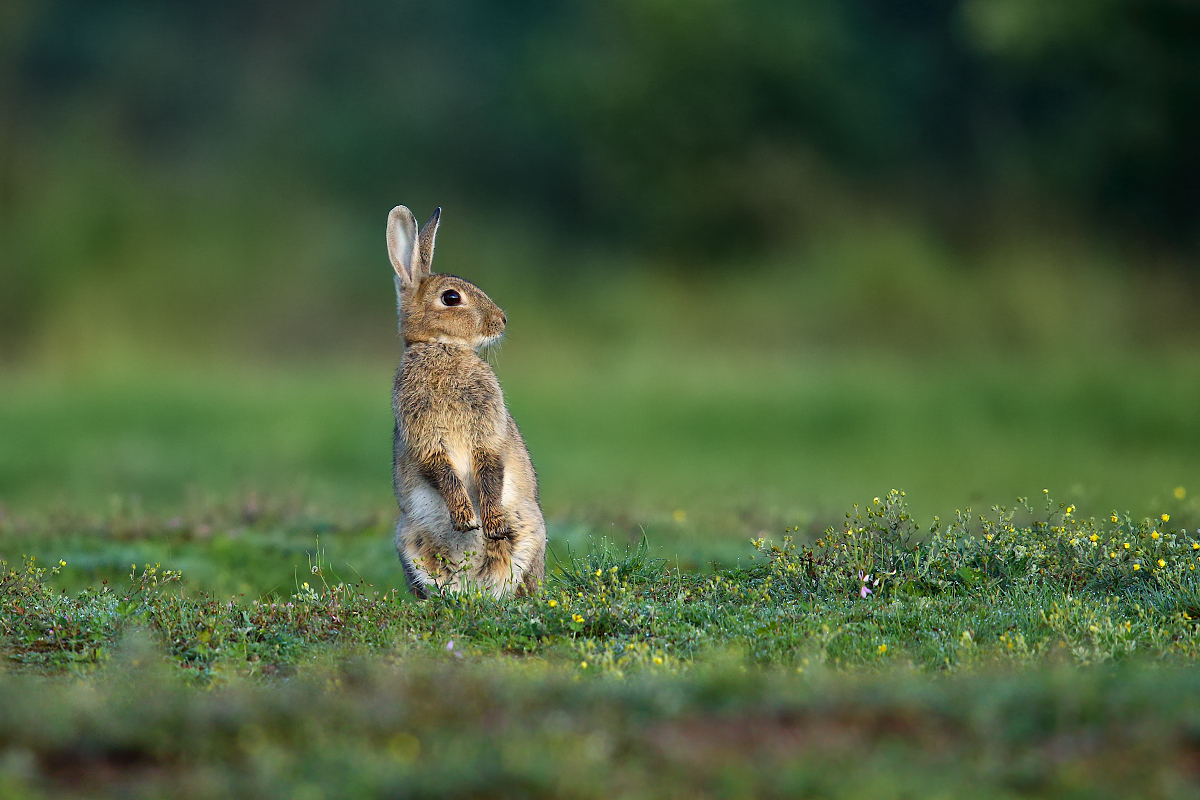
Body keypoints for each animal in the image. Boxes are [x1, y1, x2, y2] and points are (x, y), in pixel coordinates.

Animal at [386, 203, 547, 597]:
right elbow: (441, 470)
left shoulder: (486, 431)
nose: (501, 320)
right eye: (451, 298)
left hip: (531, 531)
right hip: (407, 538)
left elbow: (489, 470)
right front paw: (465, 519)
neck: (442, 347)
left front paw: (490, 523)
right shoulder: (424, 436)